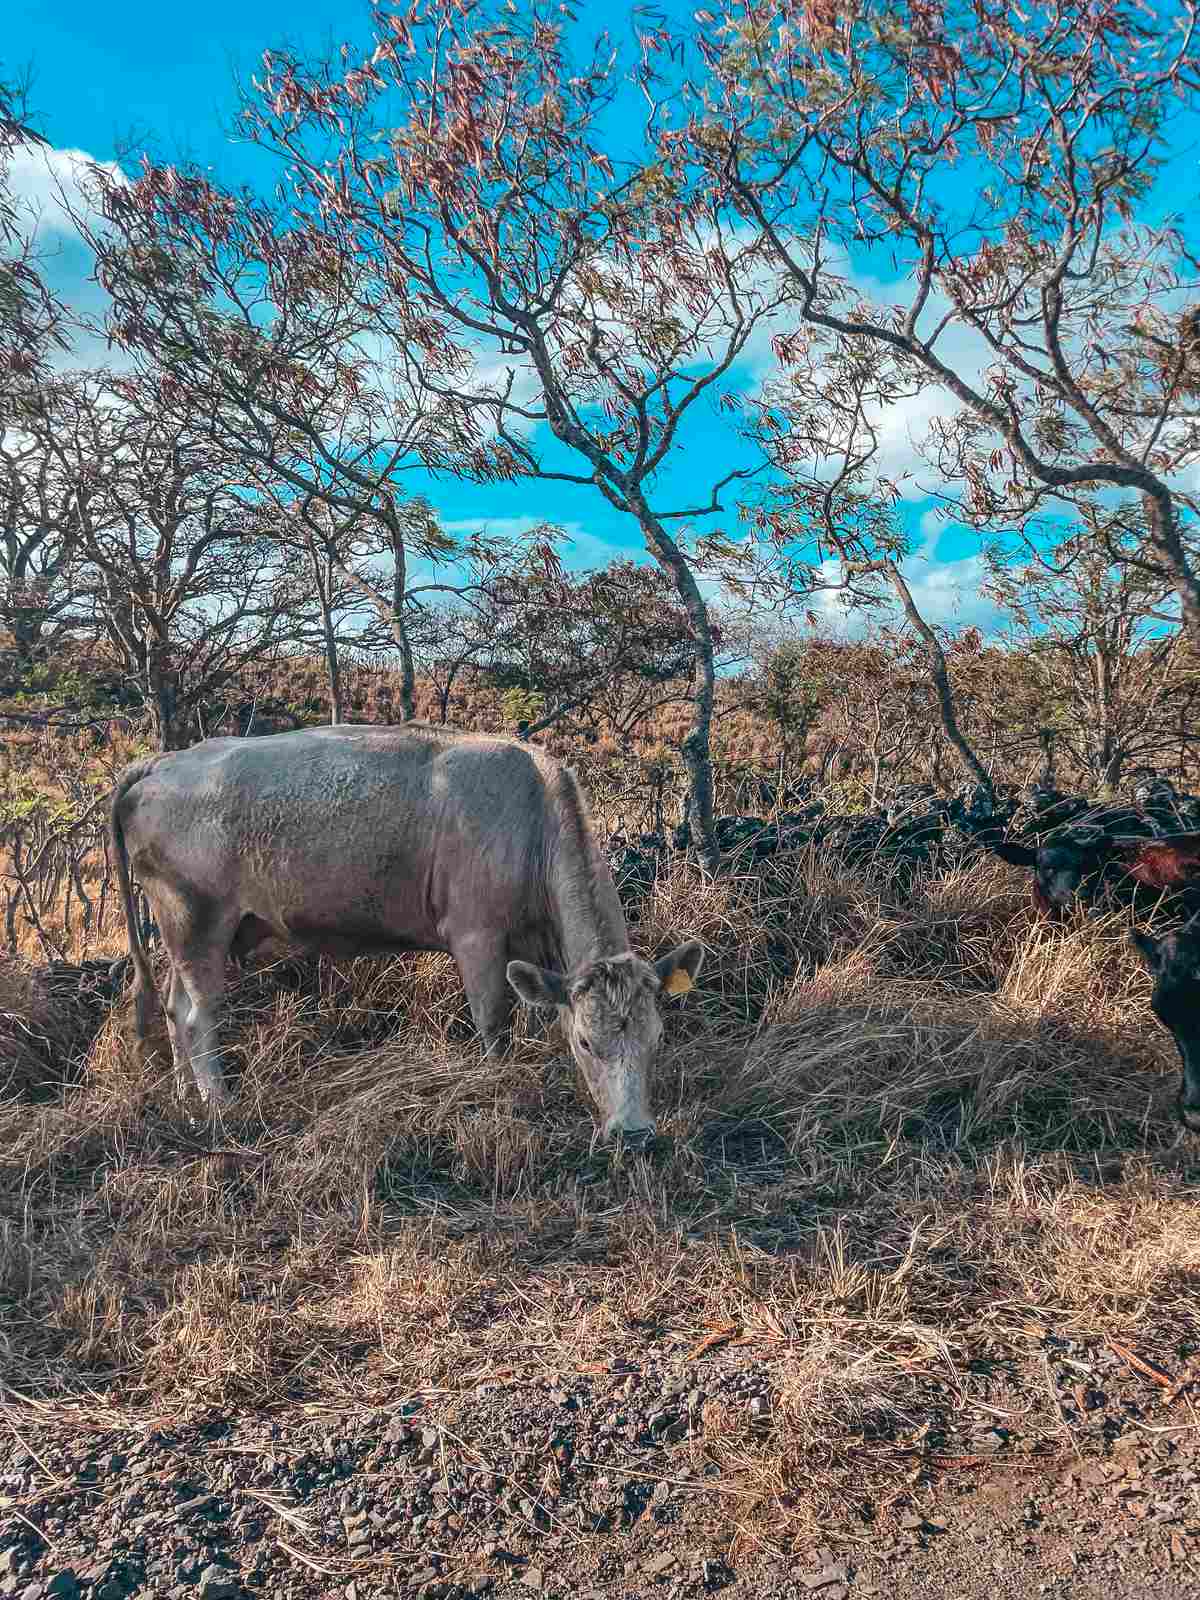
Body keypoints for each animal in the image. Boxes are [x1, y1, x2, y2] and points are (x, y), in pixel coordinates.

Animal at [112, 720, 704, 1145]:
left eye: (657, 1037)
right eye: (585, 1042)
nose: (634, 1134)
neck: (532, 819)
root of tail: (164, 761)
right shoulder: (477, 936)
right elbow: (494, 1023)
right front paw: (500, 1085)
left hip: (190, 936)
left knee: (175, 1009)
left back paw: (186, 1098)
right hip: (197, 922)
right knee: (198, 1017)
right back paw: (219, 1105)